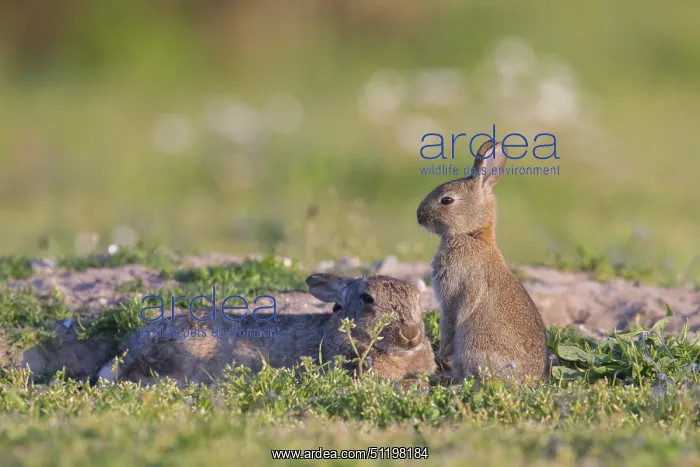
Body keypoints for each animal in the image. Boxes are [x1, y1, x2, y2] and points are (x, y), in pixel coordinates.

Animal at [416, 138, 548, 385]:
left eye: (446, 200)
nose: (419, 216)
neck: (471, 234)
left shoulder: (454, 295)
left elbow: (453, 320)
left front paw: (442, 353)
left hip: (473, 349)